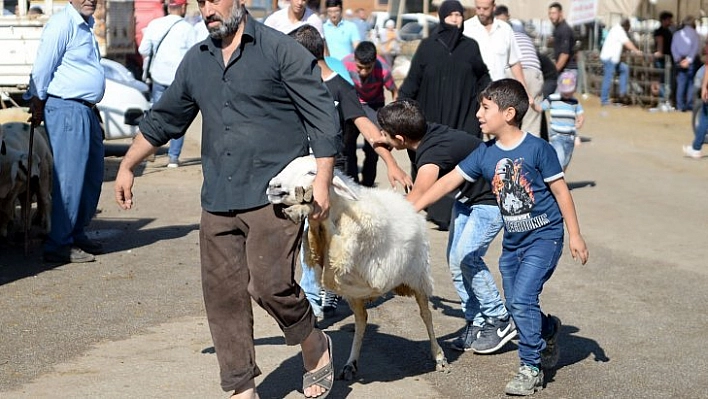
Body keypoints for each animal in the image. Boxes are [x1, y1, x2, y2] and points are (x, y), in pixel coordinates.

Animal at [266, 155, 448, 382]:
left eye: (312, 172)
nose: (273, 186)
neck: (341, 210)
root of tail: (408, 205)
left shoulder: (343, 253)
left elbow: (324, 223)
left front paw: (304, 207)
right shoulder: (324, 261)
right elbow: (315, 232)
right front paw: (302, 209)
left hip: (419, 278)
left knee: (426, 315)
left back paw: (439, 356)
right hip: (355, 294)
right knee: (362, 321)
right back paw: (350, 364)